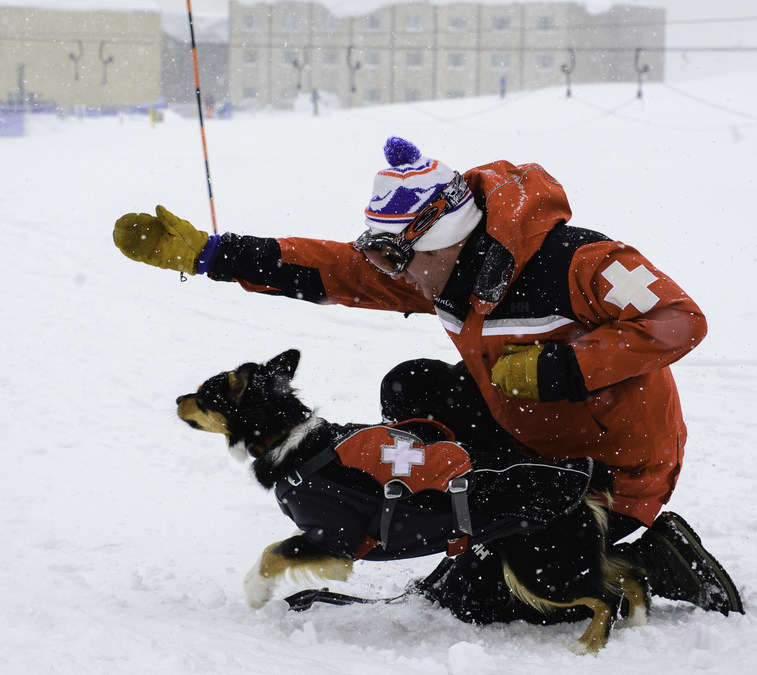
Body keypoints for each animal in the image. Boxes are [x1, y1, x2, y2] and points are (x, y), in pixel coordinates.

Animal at [179, 352, 648, 652]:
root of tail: (582, 474)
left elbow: (272, 552)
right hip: (566, 557)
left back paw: (588, 646)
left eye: (204, 394)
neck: (290, 440)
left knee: (606, 597)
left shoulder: (334, 536)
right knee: (629, 571)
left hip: (539, 567)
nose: (176, 398)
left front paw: (256, 593)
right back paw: (639, 620)